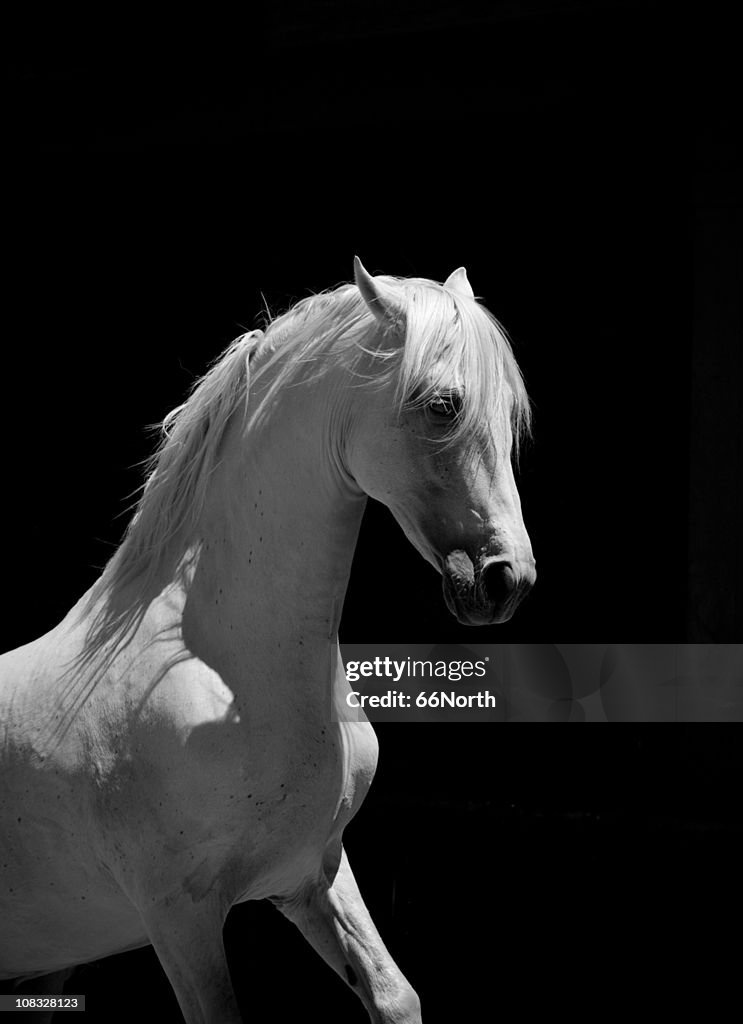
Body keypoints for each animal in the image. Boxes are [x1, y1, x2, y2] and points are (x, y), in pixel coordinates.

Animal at [0, 260, 536, 1019]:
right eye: (441, 406)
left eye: (508, 415)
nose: (506, 580)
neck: (228, 666)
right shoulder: (180, 918)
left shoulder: (314, 872)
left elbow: (395, 997)